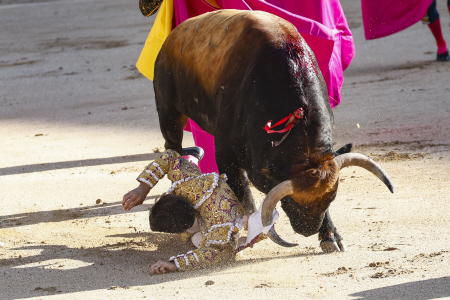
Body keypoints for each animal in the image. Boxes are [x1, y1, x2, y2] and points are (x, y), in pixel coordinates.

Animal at [153, 9, 392, 252]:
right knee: (172, 147)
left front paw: (330, 236)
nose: (308, 230)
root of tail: (172, 37)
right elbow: (238, 189)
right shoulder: (225, 152)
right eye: (290, 202)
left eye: (330, 200)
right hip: (169, 112)